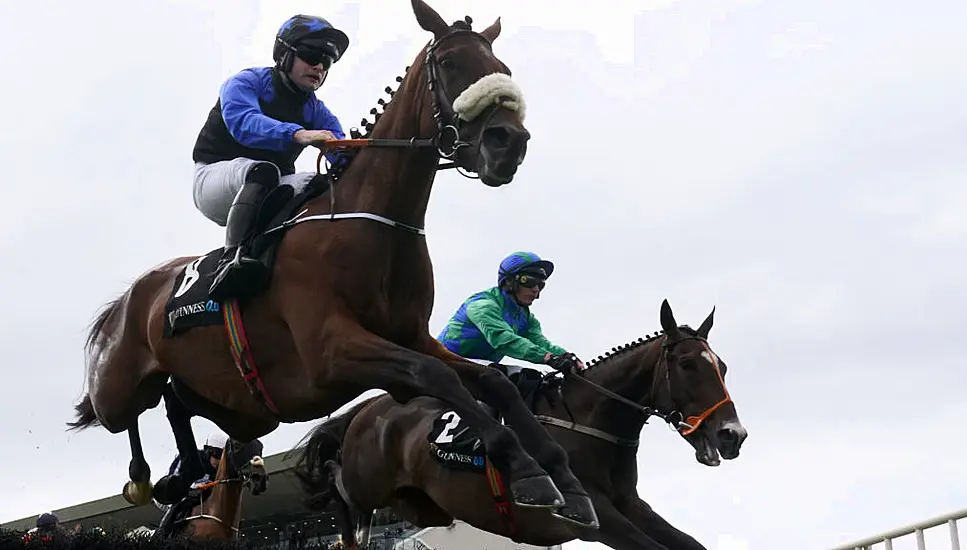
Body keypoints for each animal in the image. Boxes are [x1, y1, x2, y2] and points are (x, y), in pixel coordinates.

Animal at [68, 0, 596, 532]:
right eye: (450, 63)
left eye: (501, 67)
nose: (509, 143)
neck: (373, 226)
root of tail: (130, 296)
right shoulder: (332, 351)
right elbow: (435, 375)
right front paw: (528, 470)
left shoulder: (410, 336)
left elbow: (491, 382)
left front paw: (566, 482)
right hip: (119, 392)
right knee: (128, 409)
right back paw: (147, 477)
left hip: (247, 406)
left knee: (178, 398)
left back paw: (186, 473)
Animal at [292, 302, 744, 550]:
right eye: (686, 364)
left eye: (722, 366)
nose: (732, 435)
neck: (587, 423)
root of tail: (367, 408)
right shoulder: (596, 518)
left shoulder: (631, 505)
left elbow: (689, 543)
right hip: (367, 479)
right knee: (338, 483)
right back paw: (344, 535)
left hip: (421, 505)